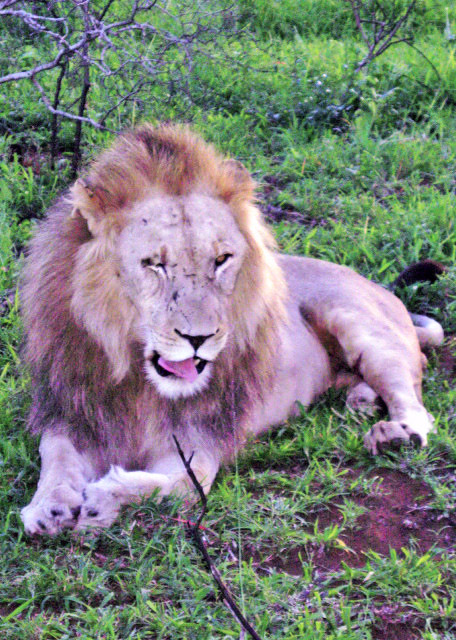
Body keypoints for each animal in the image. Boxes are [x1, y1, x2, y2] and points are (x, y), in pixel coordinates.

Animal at [20, 123, 443, 535]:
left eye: (222, 260)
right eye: (155, 264)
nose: (199, 339)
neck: (139, 386)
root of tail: (379, 287)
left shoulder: (200, 446)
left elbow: (172, 485)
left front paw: (101, 501)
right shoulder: (74, 413)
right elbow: (55, 456)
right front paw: (49, 507)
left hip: (359, 324)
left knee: (416, 402)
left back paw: (395, 436)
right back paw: (362, 399)